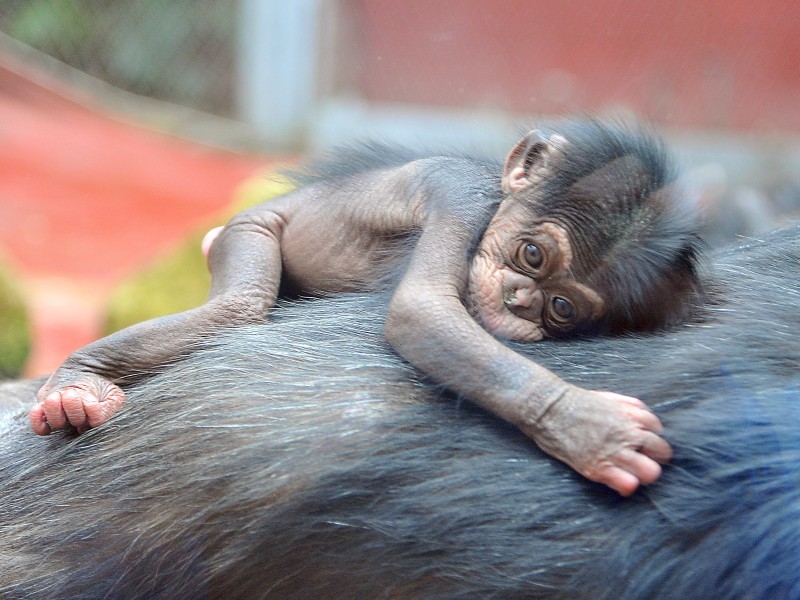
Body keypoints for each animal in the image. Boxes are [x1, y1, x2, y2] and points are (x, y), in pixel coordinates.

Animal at [34, 117, 704, 496]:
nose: (519, 300)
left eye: (561, 308)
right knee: (238, 308)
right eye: (532, 255)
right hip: (246, 230)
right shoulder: (459, 200)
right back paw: (78, 387)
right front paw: (591, 426)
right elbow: (421, 309)